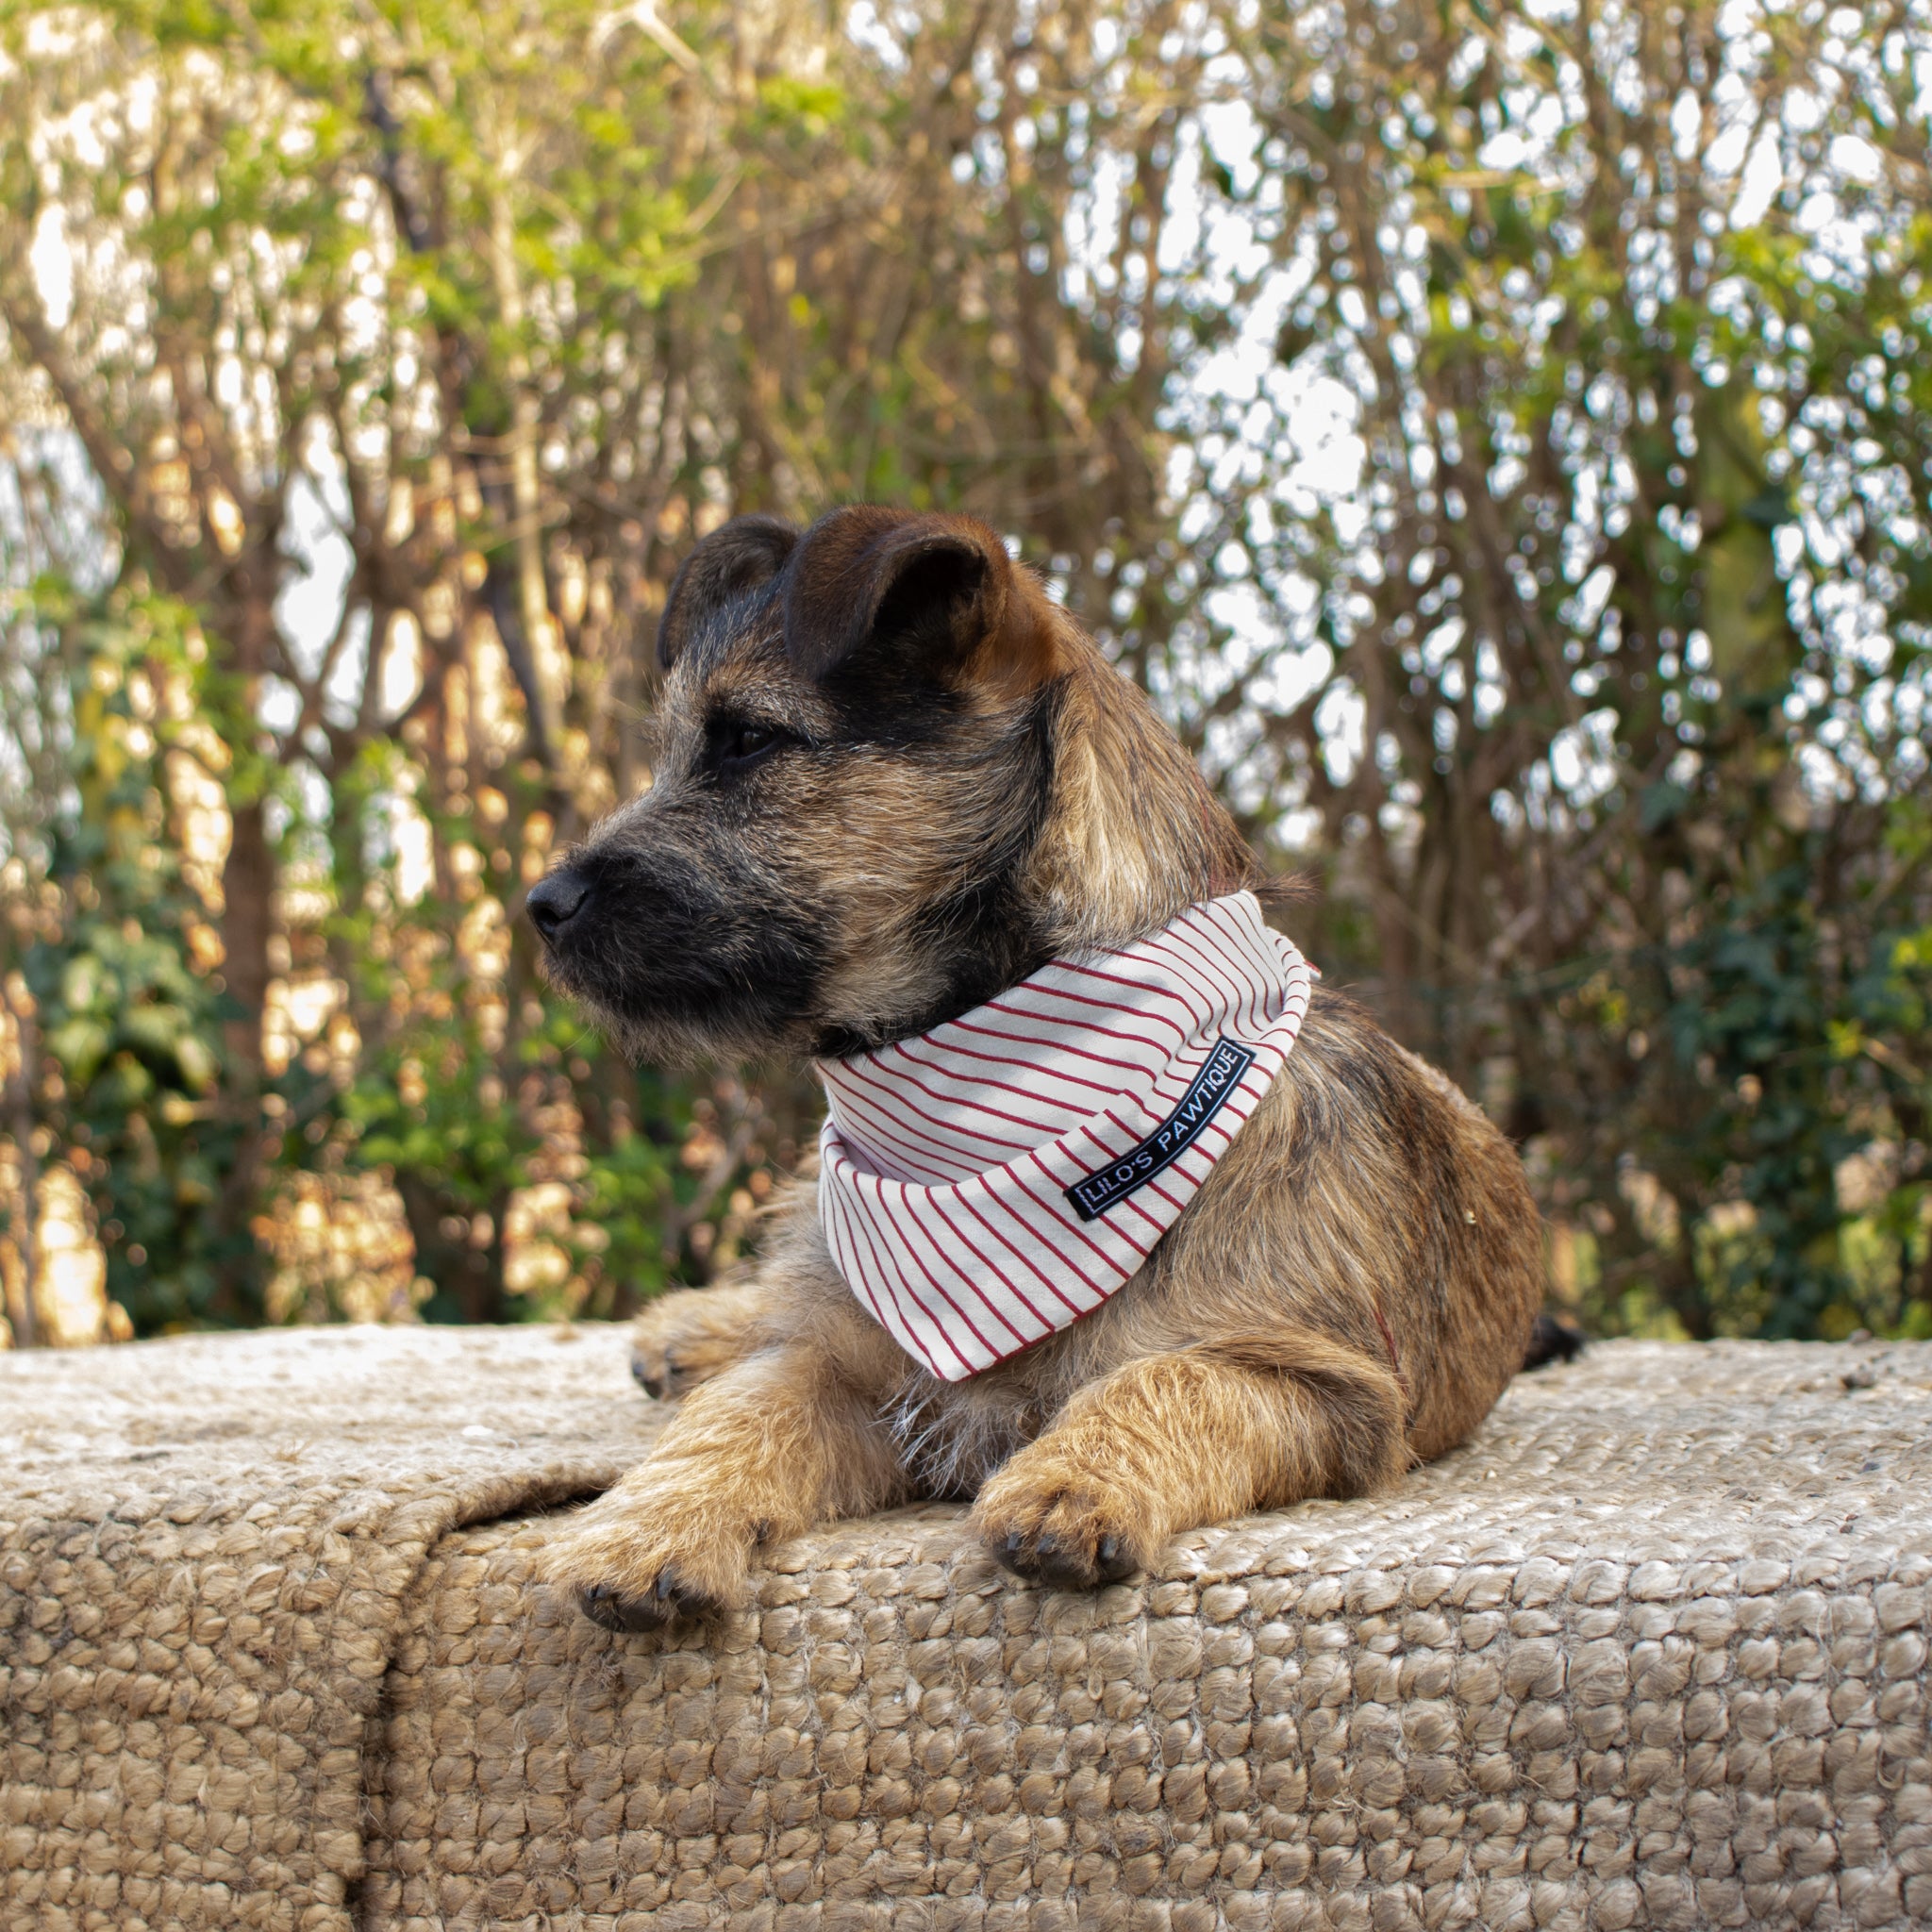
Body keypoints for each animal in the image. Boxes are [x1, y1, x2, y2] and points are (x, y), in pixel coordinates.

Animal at [525, 502, 1538, 1630]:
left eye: (748, 738)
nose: (542, 905)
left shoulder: (1324, 1385)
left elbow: (1167, 1379)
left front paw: (1074, 1479)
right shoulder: (845, 1372)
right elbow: (742, 1405)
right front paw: (646, 1523)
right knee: (781, 1291)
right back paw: (699, 1329)